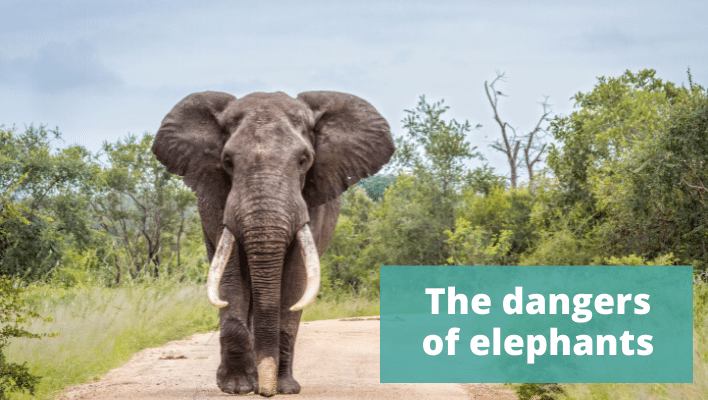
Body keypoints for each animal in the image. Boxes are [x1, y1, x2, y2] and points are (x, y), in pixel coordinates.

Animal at [151, 91, 394, 396]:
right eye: (227, 161)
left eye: (303, 160)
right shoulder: (219, 202)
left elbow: (294, 281)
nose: (266, 392)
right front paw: (238, 387)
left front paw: (283, 388)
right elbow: (231, 276)